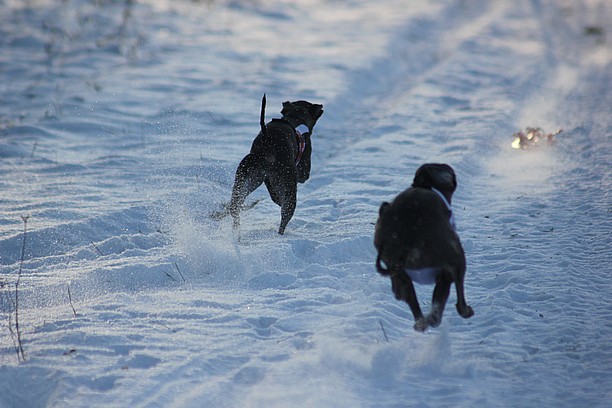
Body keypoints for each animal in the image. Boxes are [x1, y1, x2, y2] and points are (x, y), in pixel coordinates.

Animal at [230, 95, 326, 234]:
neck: (294, 117)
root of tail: (266, 142)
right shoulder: (303, 171)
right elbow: (302, 177)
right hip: (289, 186)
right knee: (285, 216)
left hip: (246, 179)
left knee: (235, 206)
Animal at [372, 163, 474, 332]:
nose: (397, 294)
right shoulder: (446, 275)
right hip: (457, 258)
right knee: (458, 303)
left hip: (400, 273)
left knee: (417, 308)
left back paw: (421, 322)